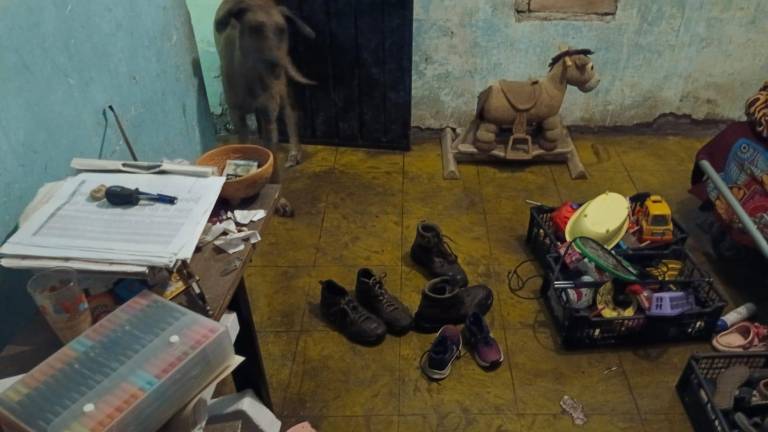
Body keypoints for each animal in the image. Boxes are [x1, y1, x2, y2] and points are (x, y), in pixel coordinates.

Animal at [213, 0, 312, 167]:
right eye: (255, 29)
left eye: (282, 30)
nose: (277, 65)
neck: (252, 78)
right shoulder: (238, 118)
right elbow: (245, 146)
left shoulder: (269, 118)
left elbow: (272, 153)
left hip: (282, 92)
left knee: (290, 114)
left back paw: (294, 152)